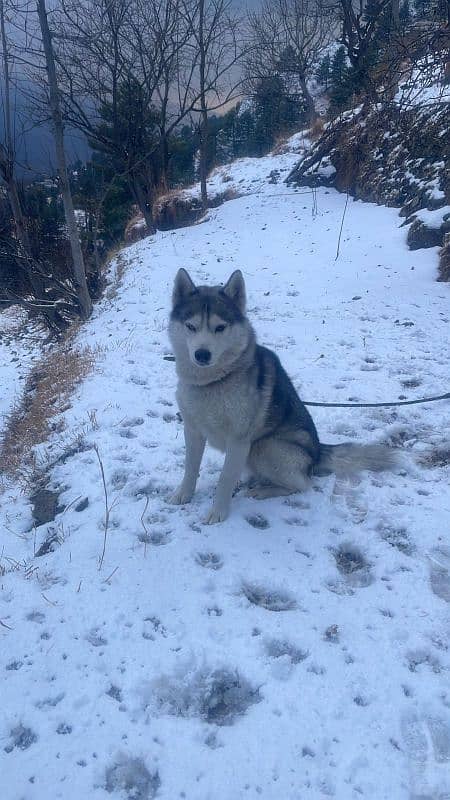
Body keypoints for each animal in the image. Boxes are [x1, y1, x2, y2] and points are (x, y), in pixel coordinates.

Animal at [167, 268, 396, 524]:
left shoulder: (239, 439)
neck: (212, 382)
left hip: (263, 446)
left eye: (220, 327)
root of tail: (317, 452)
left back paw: (262, 490)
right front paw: (183, 494)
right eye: (191, 326)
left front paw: (218, 512)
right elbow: (190, 467)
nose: (202, 354)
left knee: (302, 484)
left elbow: (225, 478)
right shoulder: (192, 429)